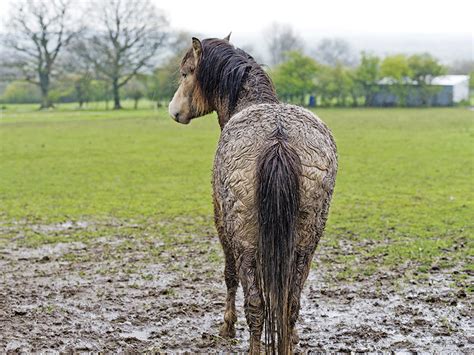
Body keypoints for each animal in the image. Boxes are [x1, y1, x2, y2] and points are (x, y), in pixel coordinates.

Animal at [169, 34, 336, 355]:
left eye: (186, 73)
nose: (173, 110)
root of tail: (278, 139)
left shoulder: (221, 221)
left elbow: (229, 275)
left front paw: (227, 326)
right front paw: (294, 336)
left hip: (244, 239)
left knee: (256, 303)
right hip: (306, 242)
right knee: (291, 302)